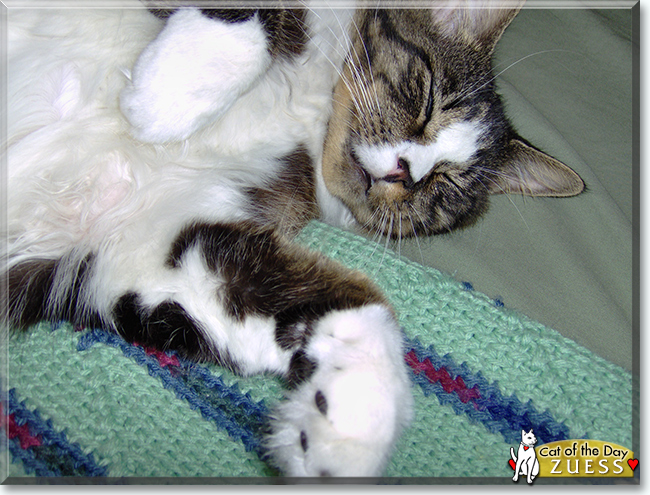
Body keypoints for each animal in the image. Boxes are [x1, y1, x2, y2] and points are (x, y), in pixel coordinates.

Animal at [3, 0, 584, 480]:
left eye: (444, 185)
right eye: (425, 96)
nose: (405, 171)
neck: (309, 112)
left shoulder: (151, 238)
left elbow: (361, 303)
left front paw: (350, 422)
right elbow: (260, 15)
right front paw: (169, 93)